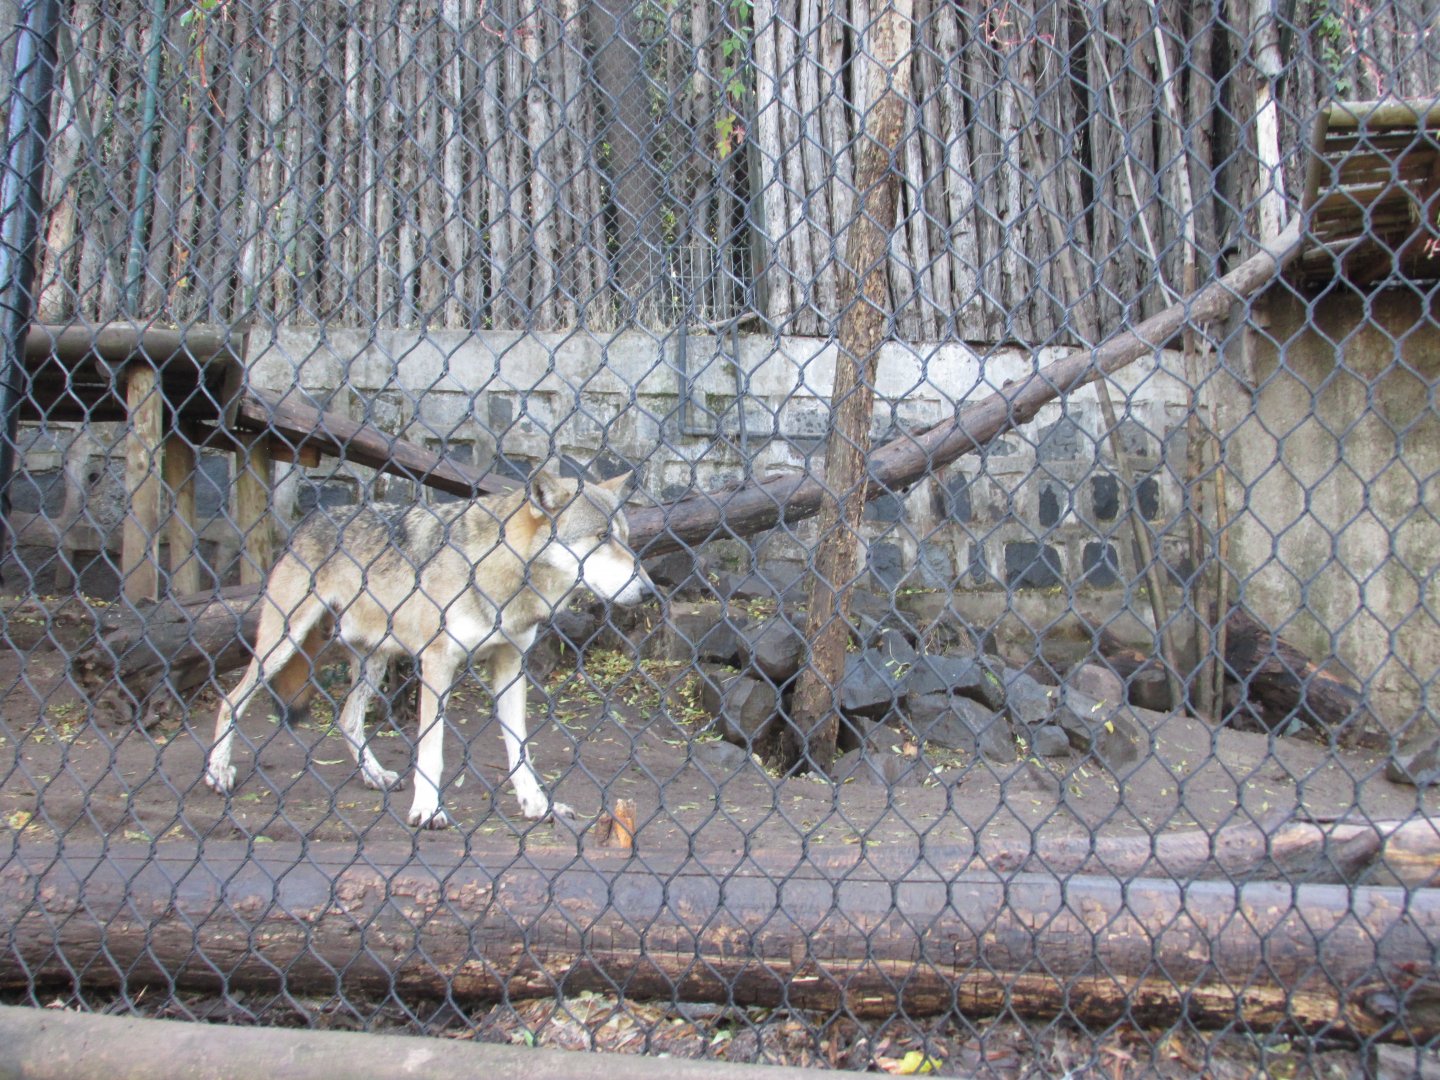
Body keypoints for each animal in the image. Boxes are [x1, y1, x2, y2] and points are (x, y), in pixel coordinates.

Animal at [203, 469, 652, 828]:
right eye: (602, 537)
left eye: (627, 539)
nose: (649, 591)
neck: (500, 576)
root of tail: (309, 521)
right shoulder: (437, 665)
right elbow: (431, 750)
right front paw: (429, 810)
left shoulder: (511, 665)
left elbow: (521, 749)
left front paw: (538, 805)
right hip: (282, 645)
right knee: (230, 699)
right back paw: (218, 772)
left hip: (373, 661)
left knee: (347, 719)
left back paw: (375, 776)